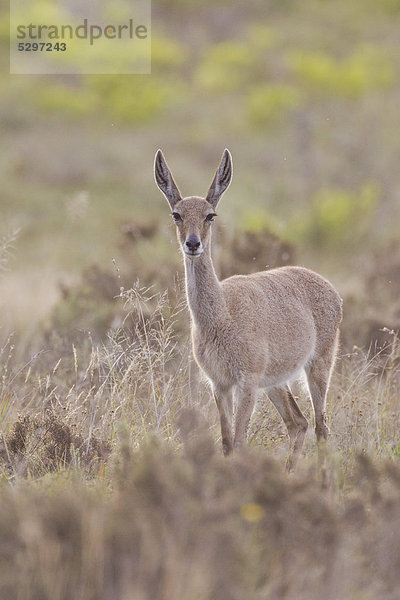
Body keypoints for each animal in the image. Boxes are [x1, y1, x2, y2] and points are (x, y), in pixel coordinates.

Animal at [155, 148, 342, 466]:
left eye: (210, 215)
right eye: (176, 214)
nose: (193, 244)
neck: (220, 316)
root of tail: (331, 289)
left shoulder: (247, 382)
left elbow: (241, 442)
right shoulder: (219, 384)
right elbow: (227, 442)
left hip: (318, 366)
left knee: (321, 427)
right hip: (275, 383)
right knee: (299, 423)